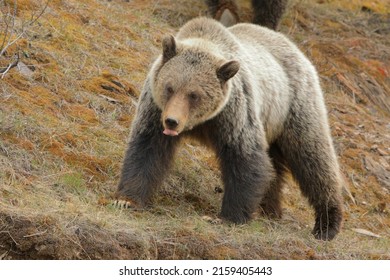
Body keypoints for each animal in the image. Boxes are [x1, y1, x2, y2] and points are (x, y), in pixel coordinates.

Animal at [114, 17, 342, 241]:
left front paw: (226, 217)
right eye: (169, 87)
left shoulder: (234, 114)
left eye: (194, 94)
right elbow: (147, 149)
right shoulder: (155, 108)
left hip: (295, 108)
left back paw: (327, 224)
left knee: (313, 159)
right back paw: (269, 210)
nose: (171, 121)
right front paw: (127, 200)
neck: (201, 123)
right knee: (276, 169)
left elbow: (244, 159)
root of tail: (295, 48)